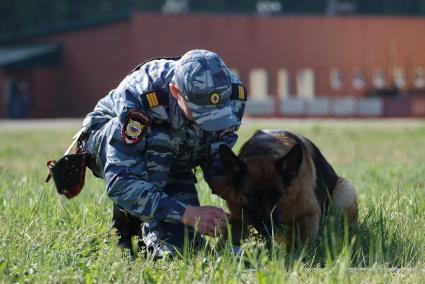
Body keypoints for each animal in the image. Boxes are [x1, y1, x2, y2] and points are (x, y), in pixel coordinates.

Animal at [217, 130, 356, 245]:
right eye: (251, 195)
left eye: (277, 194)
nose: (268, 230)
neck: (263, 151)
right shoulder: (237, 217)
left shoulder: (309, 214)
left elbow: (301, 246)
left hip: (345, 191)